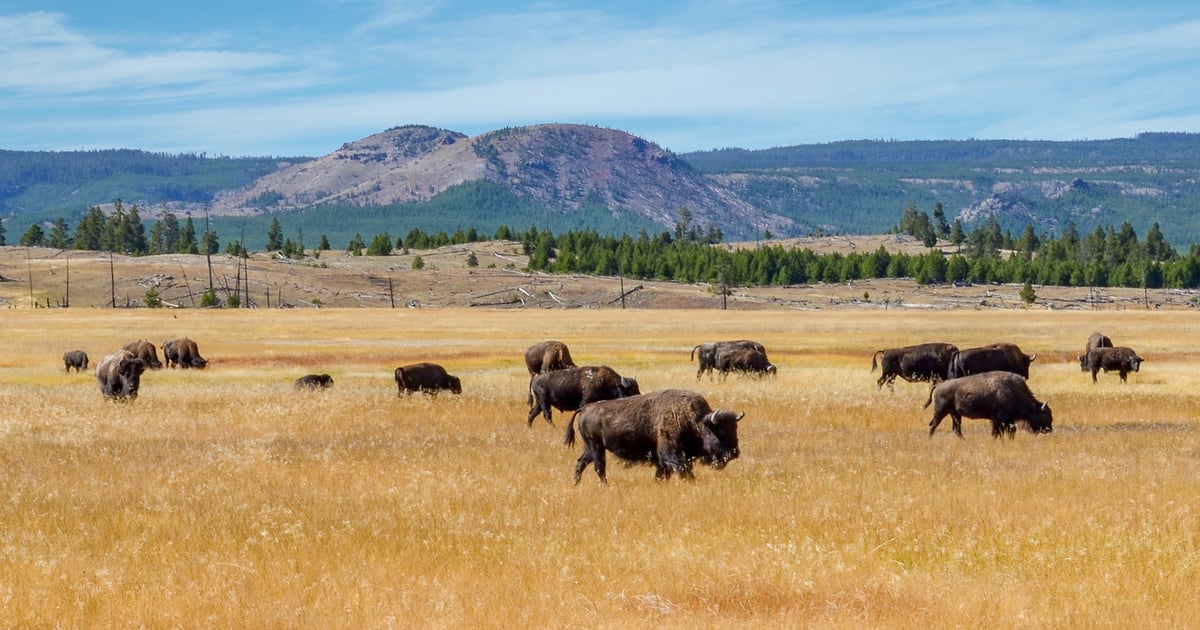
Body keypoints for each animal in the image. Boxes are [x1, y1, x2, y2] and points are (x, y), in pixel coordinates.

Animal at [564, 389, 744, 483]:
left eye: (735, 429)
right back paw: (606, 486)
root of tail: (585, 408)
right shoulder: (671, 453)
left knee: (581, 463)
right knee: (599, 467)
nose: (735, 453)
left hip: (590, 448)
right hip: (596, 447)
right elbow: (682, 469)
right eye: (720, 431)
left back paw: (576, 483)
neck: (696, 421)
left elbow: (663, 473)